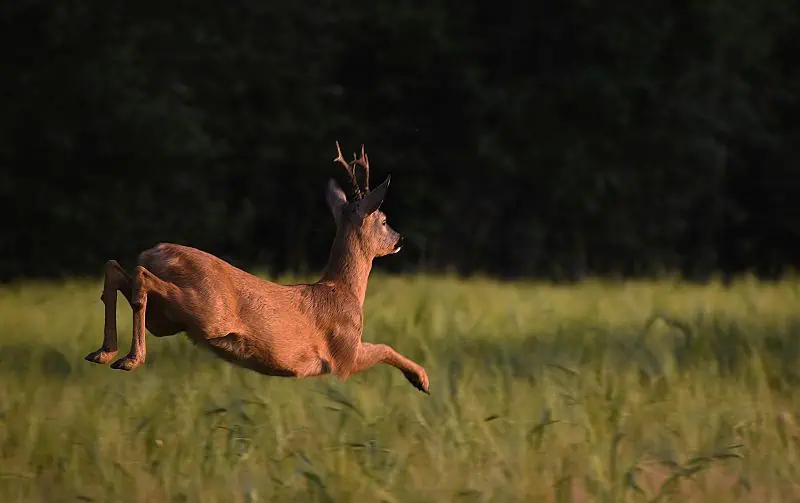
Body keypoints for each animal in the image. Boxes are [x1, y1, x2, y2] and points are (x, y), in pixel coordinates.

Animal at [83, 141, 428, 394]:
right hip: (206, 311)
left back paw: (103, 353)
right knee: (140, 277)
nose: (400, 238)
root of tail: (154, 253)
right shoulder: (343, 354)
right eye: (383, 220)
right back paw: (130, 359)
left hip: (167, 320)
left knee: (117, 270)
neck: (344, 290)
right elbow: (384, 347)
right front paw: (421, 379)